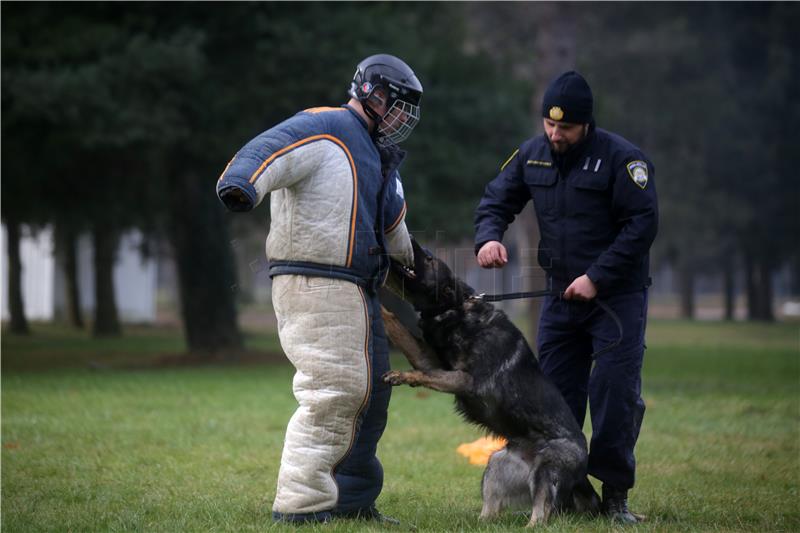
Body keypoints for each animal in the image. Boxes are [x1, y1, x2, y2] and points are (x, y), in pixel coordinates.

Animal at [382, 239, 600, 524]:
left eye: (429, 259)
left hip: (546, 470)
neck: (457, 309)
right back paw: (476, 522)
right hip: (496, 464)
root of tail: (583, 471)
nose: (412, 241)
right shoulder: (429, 360)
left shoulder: (462, 380)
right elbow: (395, 324)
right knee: (491, 511)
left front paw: (400, 375)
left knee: (540, 515)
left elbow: (424, 375)